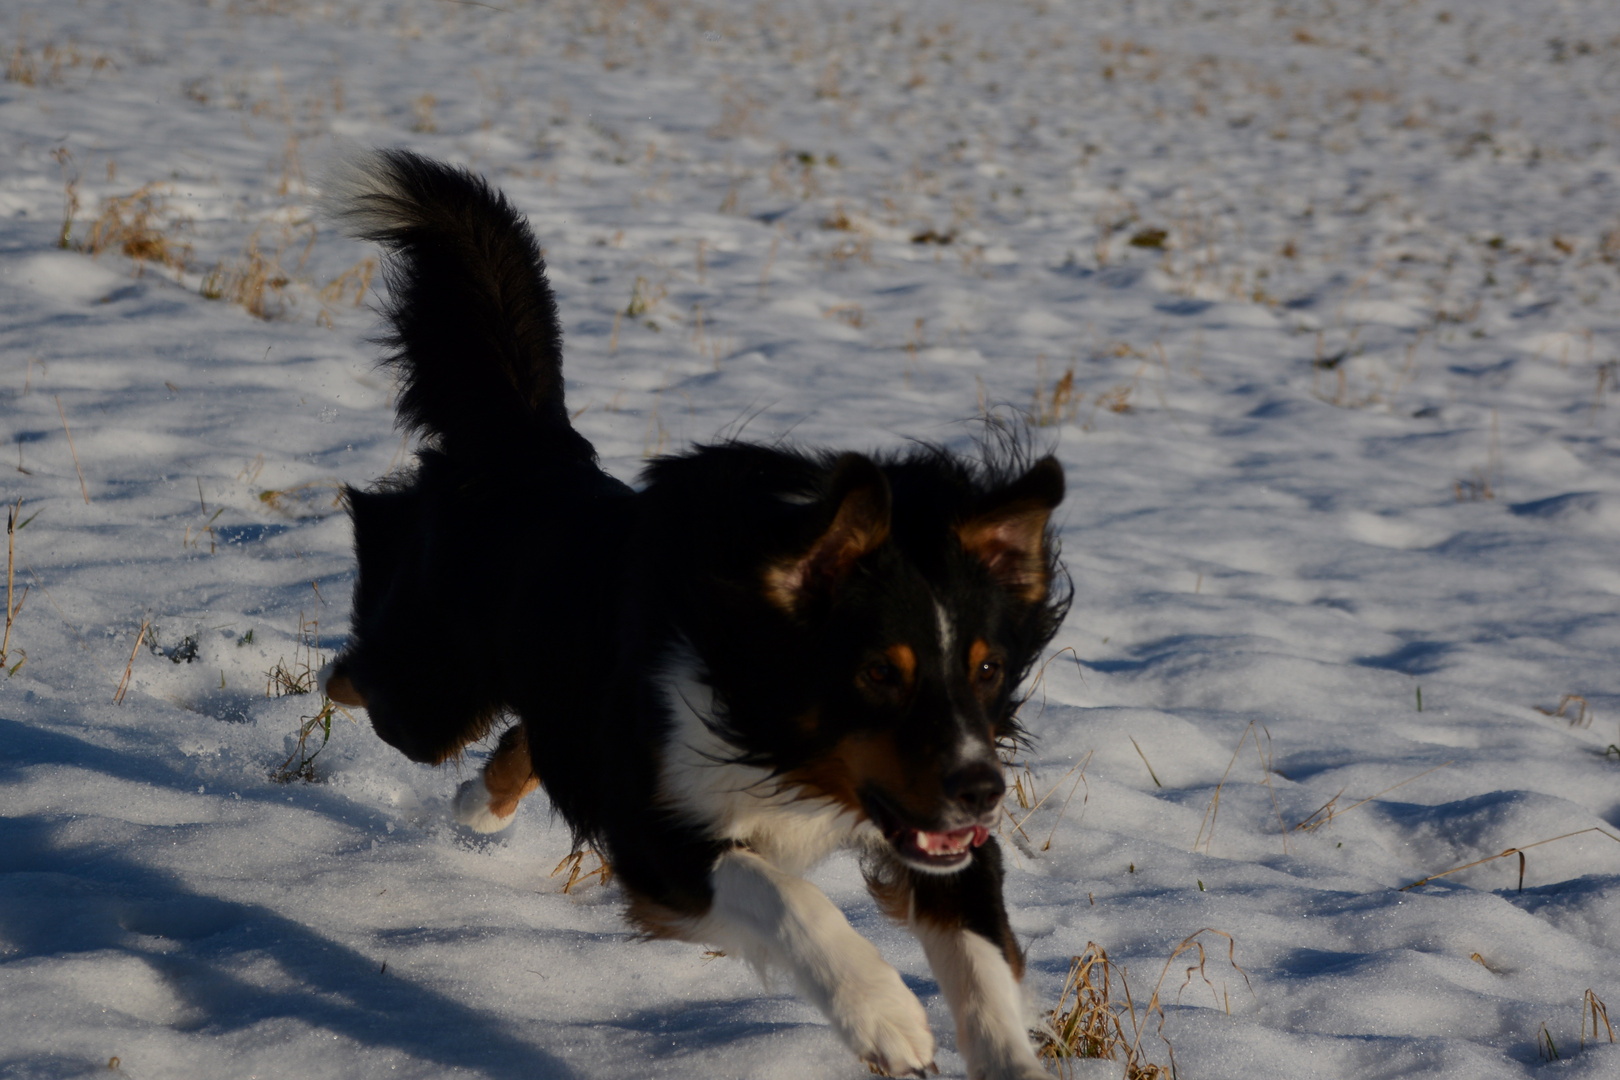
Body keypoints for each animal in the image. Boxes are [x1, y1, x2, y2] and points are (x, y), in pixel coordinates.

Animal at [320, 152, 1069, 1080]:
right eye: (874, 673)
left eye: (988, 668)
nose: (983, 791)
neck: (774, 733)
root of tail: (531, 450)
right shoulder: (659, 840)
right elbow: (785, 895)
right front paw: (882, 1014)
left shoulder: (934, 827)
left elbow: (981, 958)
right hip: (427, 693)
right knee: (354, 661)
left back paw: (481, 803)